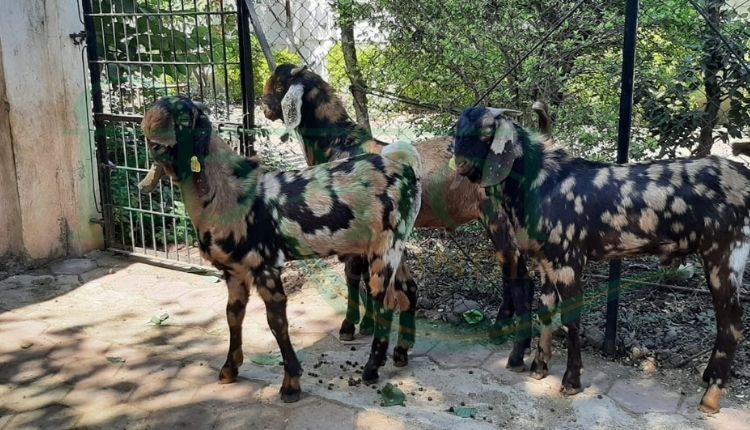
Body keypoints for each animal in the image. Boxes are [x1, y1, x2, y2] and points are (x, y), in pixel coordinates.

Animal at [140, 95, 423, 401]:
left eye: (182, 118)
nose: (155, 141)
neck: (228, 193)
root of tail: (403, 164)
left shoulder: (264, 265)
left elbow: (276, 322)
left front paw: (290, 384)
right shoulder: (234, 271)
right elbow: (233, 316)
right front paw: (229, 370)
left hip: (386, 246)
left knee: (385, 301)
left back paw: (372, 368)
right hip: (395, 245)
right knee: (408, 288)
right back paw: (401, 353)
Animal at [260, 64, 554, 371]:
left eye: (280, 87)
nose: (263, 105)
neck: (342, 145)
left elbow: (352, 275)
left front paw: (349, 328)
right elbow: (367, 278)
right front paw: (368, 326)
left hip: (498, 217)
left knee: (522, 283)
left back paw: (516, 354)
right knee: (510, 274)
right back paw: (498, 331)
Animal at [452, 106, 749, 413]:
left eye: (486, 133)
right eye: (456, 131)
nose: (459, 164)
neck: (544, 183)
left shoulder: (568, 260)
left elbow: (571, 320)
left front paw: (571, 381)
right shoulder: (546, 261)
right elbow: (545, 310)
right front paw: (539, 366)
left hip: (725, 254)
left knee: (732, 326)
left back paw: (711, 398)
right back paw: (709, 376)